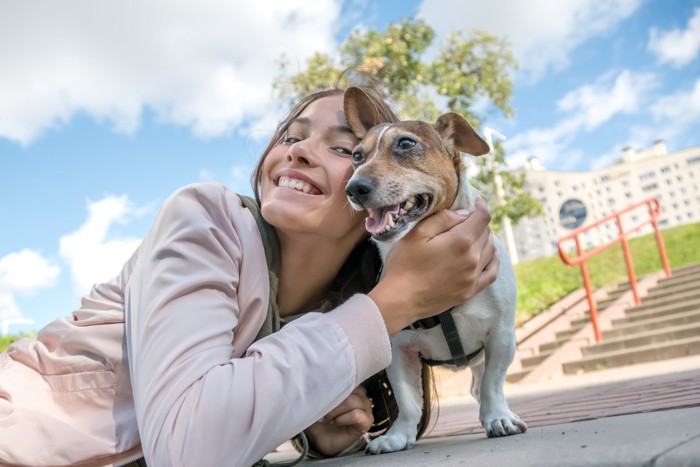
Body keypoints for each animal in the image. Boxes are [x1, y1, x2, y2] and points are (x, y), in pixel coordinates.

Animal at [342, 87, 528, 454]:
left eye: (405, 144)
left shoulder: (501, 337)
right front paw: (398, 435)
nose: (354, 188)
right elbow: (408, 402)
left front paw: (498, 417)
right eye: (356, 156)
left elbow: (493, 384)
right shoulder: (398, 351)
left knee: (480, 386)